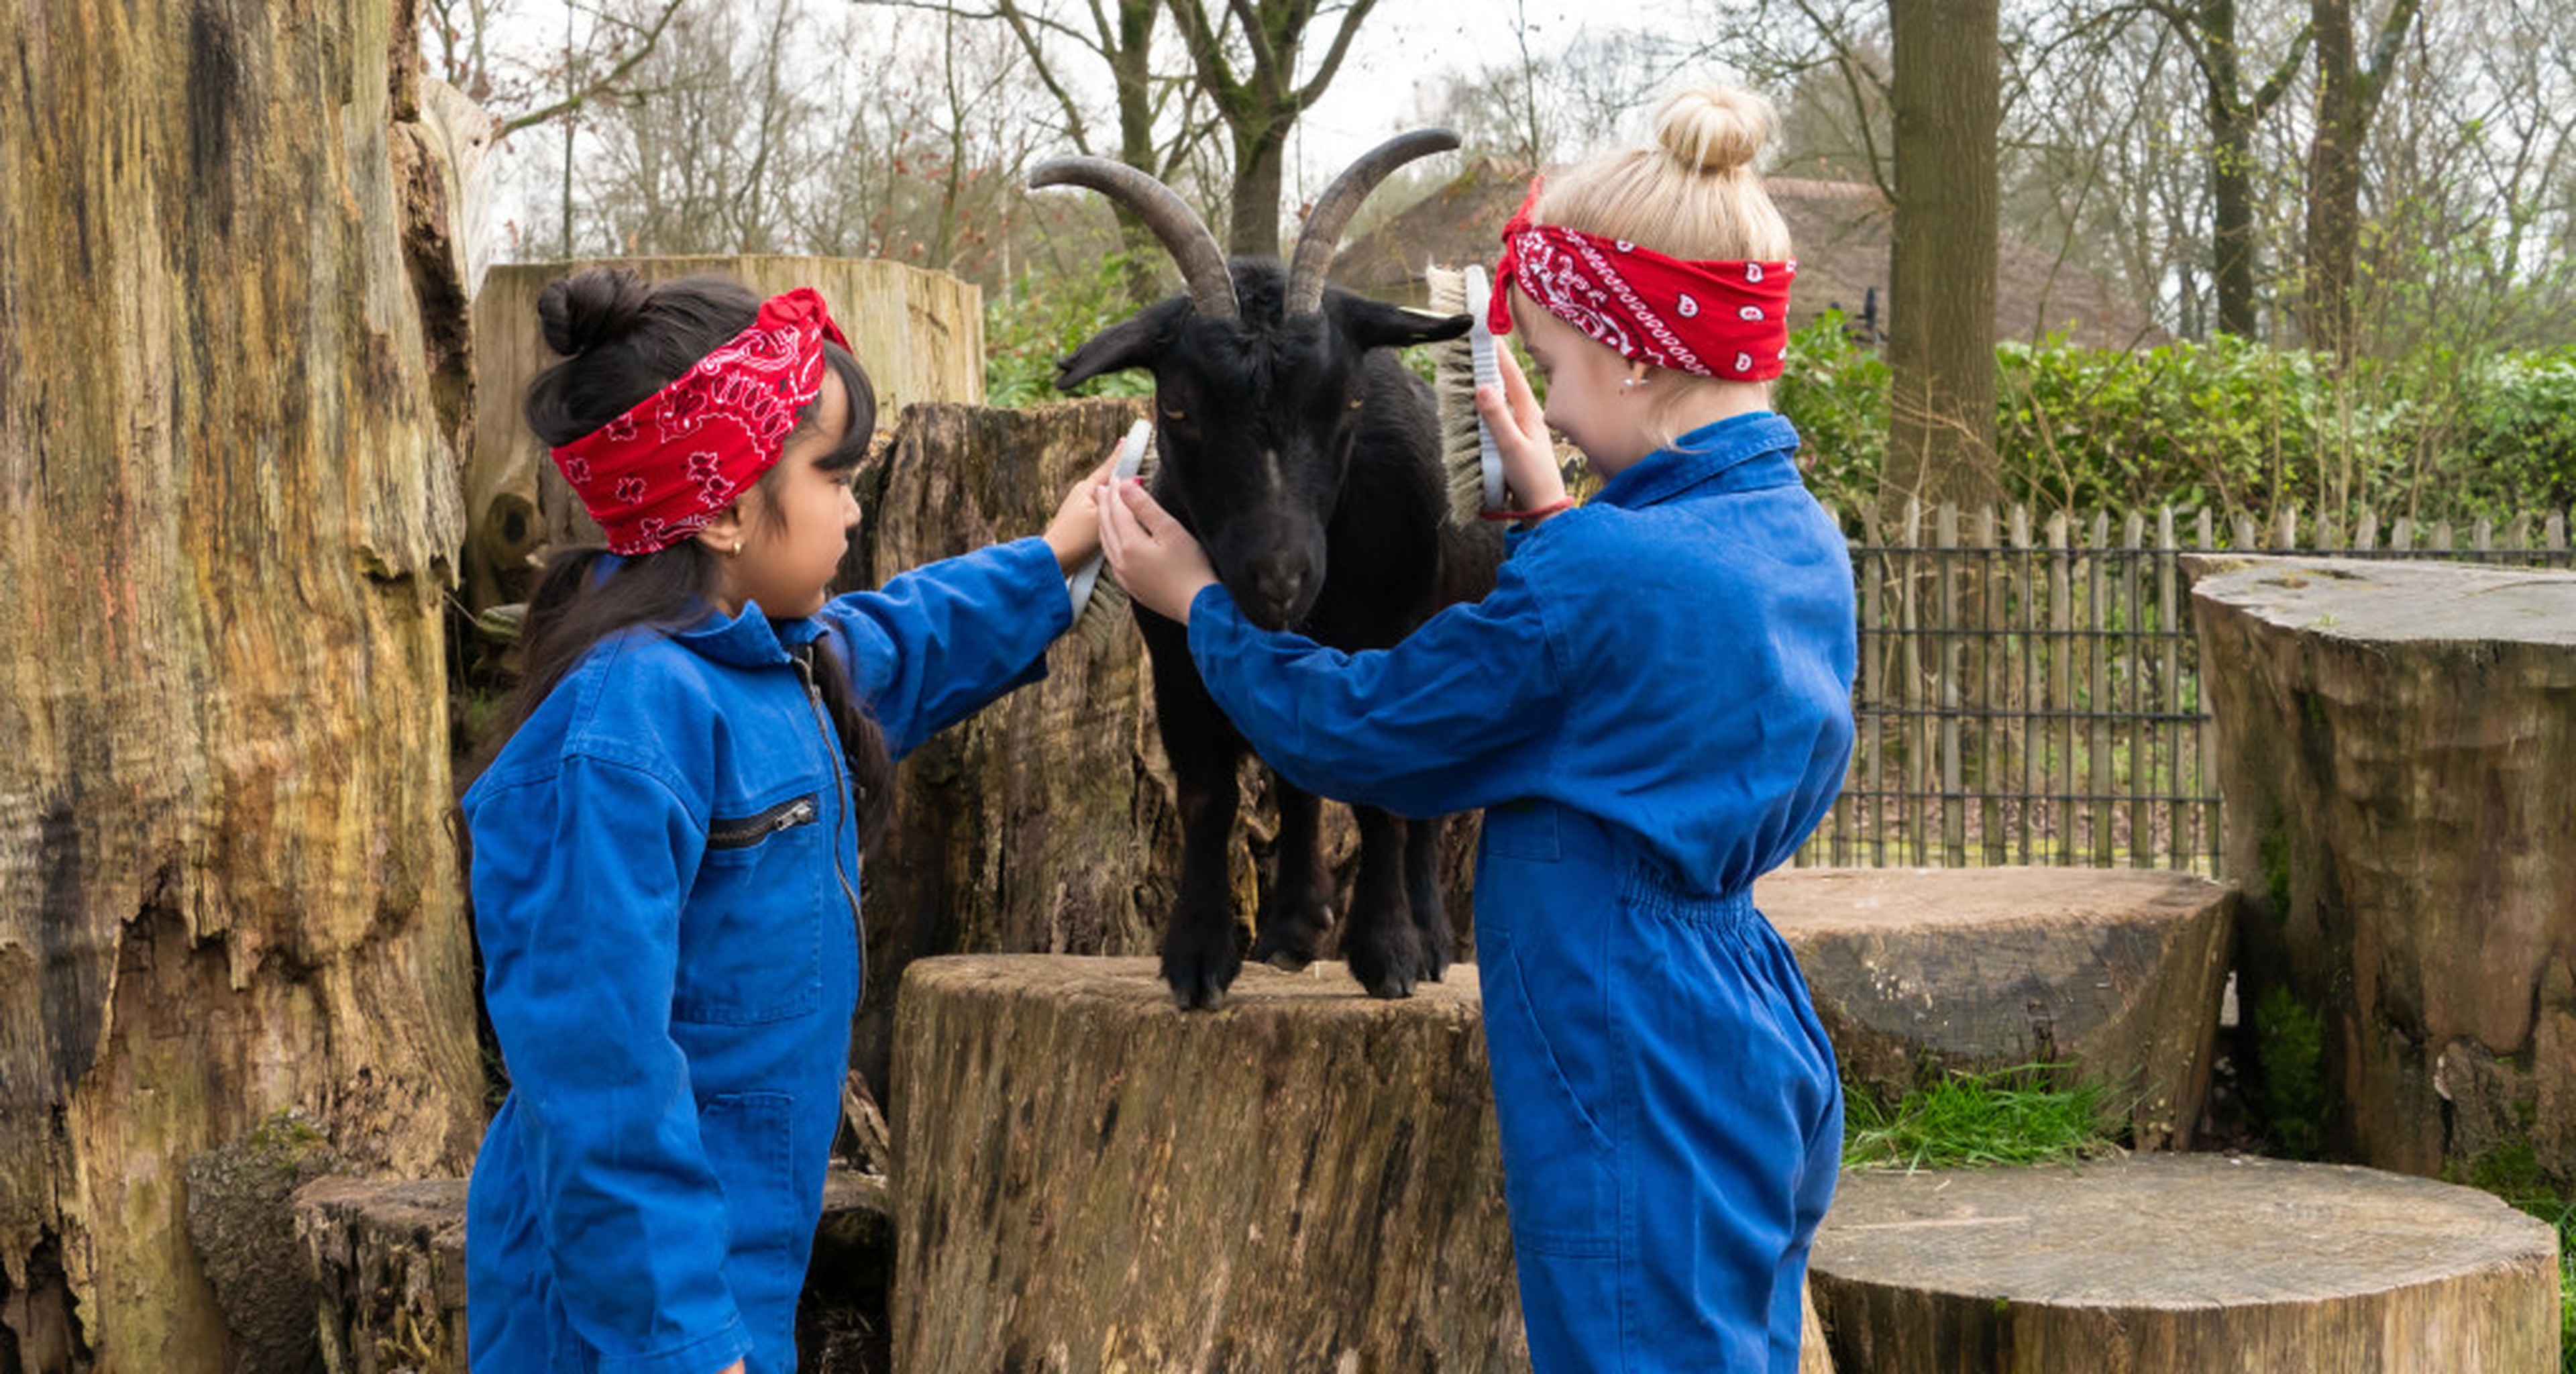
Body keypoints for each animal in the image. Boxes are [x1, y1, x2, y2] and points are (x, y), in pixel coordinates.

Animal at [1033, 131, 1495, 1010]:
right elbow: (1209, 793)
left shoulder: (1399, 644)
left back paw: (1429, 938)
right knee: (1297, 777)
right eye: (1177, 406)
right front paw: (1198, 957)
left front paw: (1388, 952)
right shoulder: (1177, 664)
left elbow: (1383, 798)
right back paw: (1291, 929)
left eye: (1349, 401)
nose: (1278, 580)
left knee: (1423, 805)